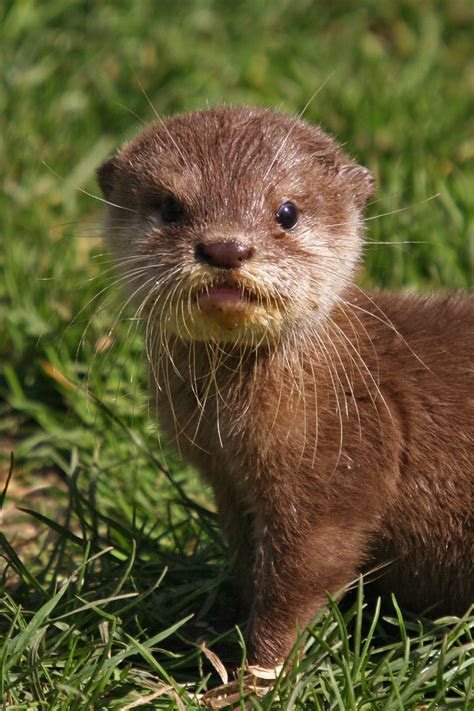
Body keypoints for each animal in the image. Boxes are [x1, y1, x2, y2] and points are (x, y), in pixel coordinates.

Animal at [96, 106, 473, 672]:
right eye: (170, 206)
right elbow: (249, 564)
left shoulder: (339, 465)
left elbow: (306, 575)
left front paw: (252, 674)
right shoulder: (227, 480)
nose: (225, 247)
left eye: (287, 211)